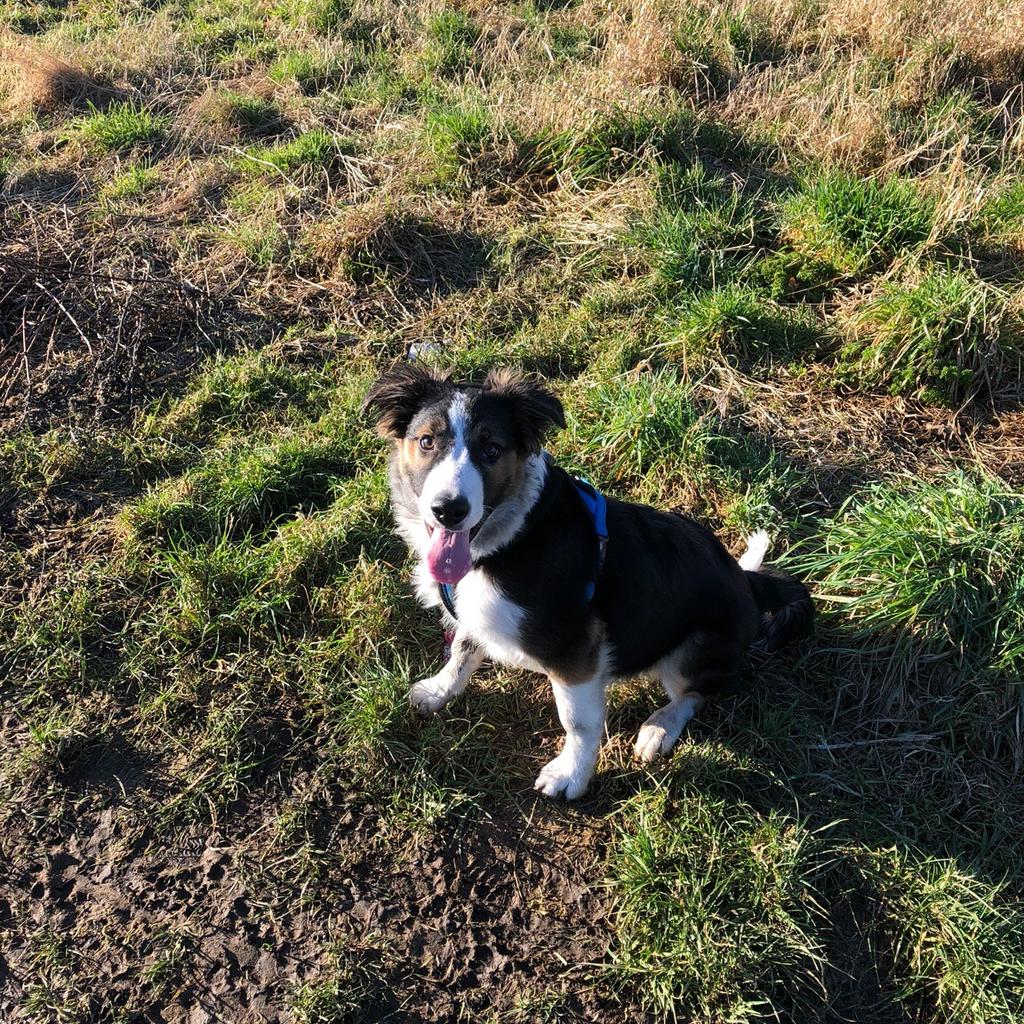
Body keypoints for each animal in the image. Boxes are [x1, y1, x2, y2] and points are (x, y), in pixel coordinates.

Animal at [364, 364, 811, 794]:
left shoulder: (575, 650)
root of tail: (747, 582)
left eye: (491, 450)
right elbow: (461, 652)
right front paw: (439, 691)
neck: (514, 534)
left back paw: (659, 727)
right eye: (426, 441)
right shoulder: (475, 611)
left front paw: (571, 776)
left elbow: (577, 722)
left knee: (698, 692)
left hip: (695, 647)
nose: (448, 510)